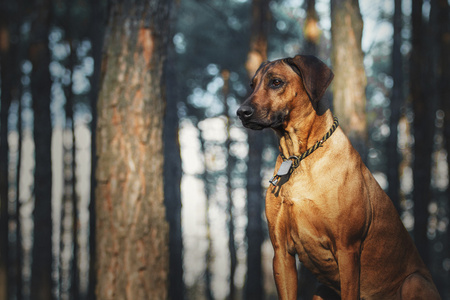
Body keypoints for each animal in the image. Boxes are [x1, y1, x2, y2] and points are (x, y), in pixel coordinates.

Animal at [237, 55, 442, 298]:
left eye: (276, 82)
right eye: (252, 85)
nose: (241, 112)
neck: (298, 158)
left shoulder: (347, 249)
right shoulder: (281, 252)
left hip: (414, 281)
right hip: (321, 289)